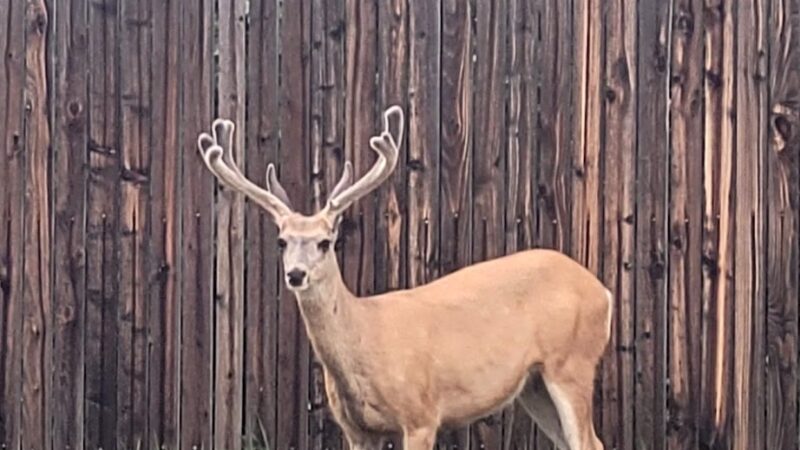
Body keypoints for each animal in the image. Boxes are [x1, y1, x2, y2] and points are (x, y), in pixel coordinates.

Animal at [196, 106, 612, 450]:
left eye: (325, 242)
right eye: (282, 240)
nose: (295, 274)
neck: (365, 338)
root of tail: (602, 292)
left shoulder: (421, 414)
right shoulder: (357, 429)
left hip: (572, 362)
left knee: (589, 442)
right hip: (534, 384)